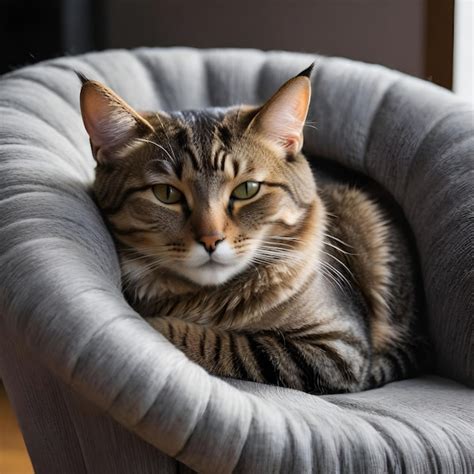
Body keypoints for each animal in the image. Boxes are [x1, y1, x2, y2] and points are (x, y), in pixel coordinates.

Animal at [78, 65, 426, 392]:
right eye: (166, 194)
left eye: (247, 189)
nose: (211, 239)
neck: (209, 295)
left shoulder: (337, 348)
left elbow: (225, 344)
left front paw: (157, 325)